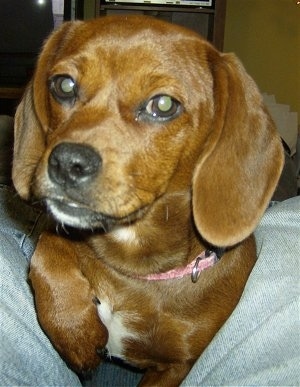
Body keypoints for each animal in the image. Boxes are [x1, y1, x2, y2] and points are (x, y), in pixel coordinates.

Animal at [12, 15, 284, 387]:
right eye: (64, 85)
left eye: (164, 105)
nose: (67, 163)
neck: (134, 274)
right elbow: (47, 249)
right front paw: (75, 332)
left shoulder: (175, 368)